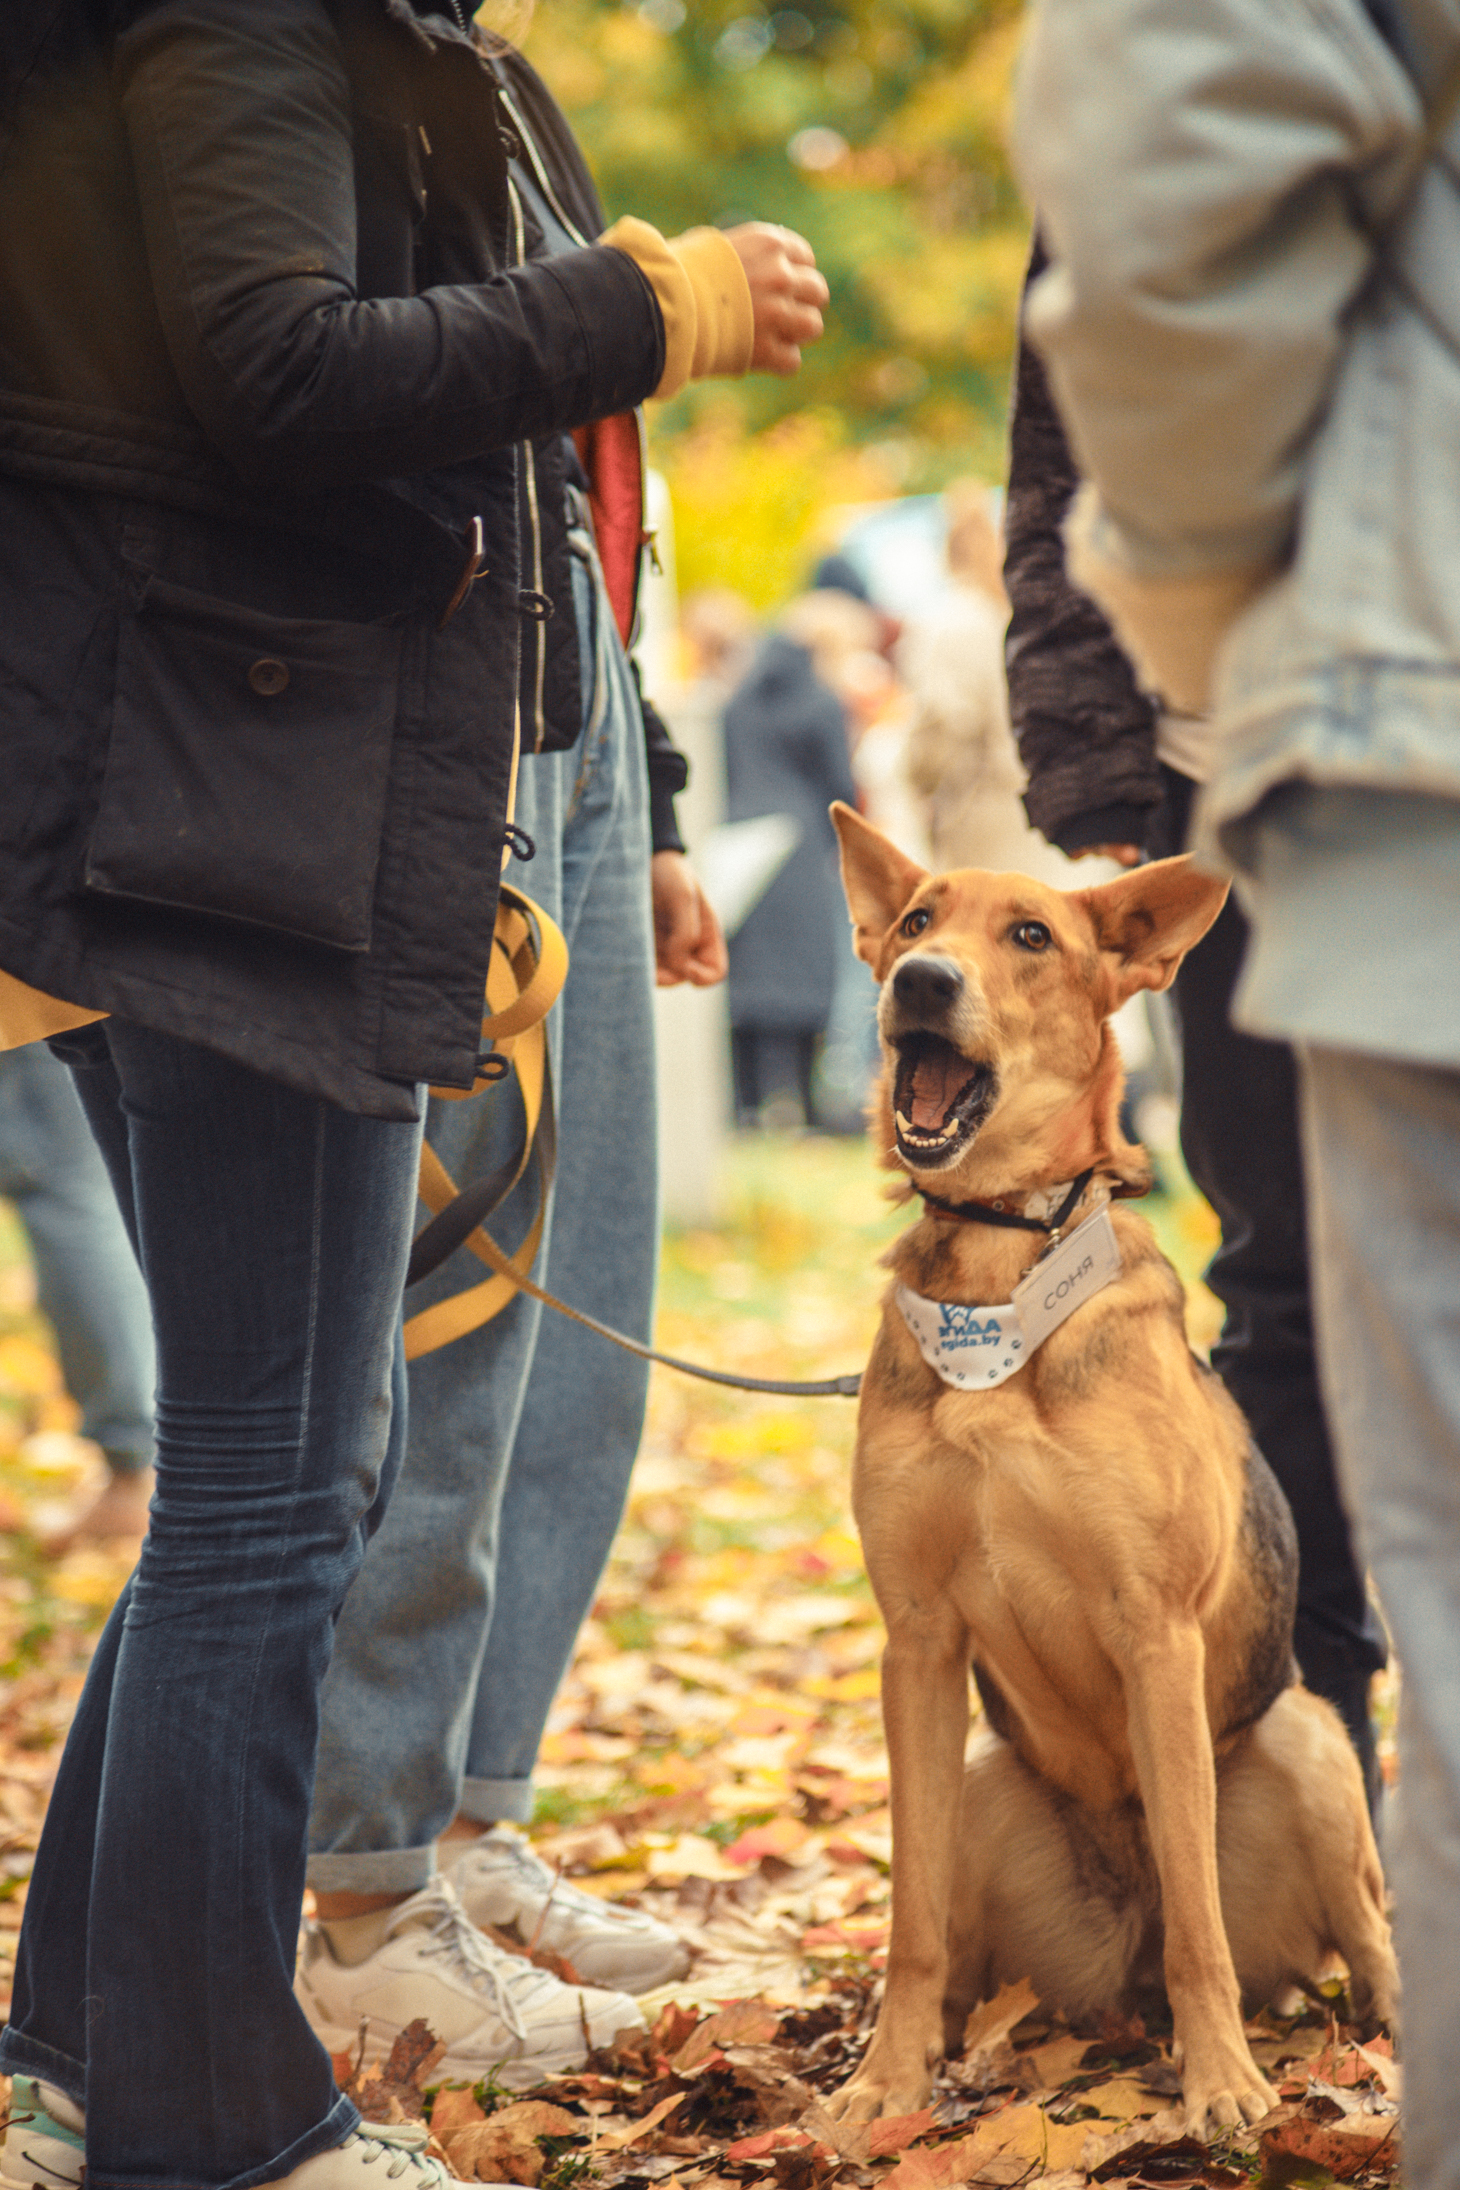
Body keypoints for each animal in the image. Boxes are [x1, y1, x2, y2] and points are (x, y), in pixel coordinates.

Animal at [825, 805, 1397, 2137]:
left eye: (1030, 935)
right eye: (915, 921)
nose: (919, 982)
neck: (998, 1275)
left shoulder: (1155, 1633)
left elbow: (1197, 1911)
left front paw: (1222, 2085)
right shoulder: (915, 1641)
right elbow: (907, 1919)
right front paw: (882, 2078)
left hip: (1306, 1742)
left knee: (1350, 1936)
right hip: (983, 1780)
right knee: (968, 1947)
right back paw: (951, 2055)